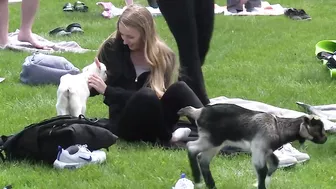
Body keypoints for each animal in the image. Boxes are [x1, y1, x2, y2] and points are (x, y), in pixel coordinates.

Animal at [178, 103, 328, 189]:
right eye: (318, 129)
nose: (325, 139)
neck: (278, 128)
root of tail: (198, 112)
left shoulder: (267, 151)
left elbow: (275, 164)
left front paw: (262, 183)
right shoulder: (258, 151)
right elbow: (262, 170)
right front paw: (260, 185)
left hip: (215, 144)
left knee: (203, 159)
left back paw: (211, 185)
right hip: (211, 140)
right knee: (191, 147)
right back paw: (198, 181)